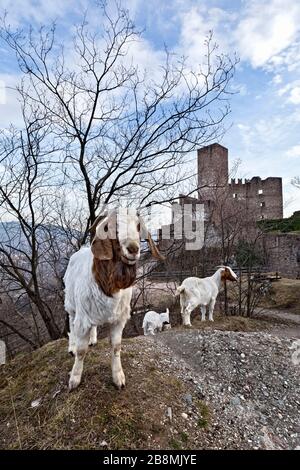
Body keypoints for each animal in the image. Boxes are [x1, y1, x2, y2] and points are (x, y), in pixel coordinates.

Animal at [62, 208, 164, 390]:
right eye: (113, 227)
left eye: (138, 226)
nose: (133, 248)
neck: (109, 287)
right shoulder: (83, 319)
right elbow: (81, 351)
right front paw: (74, 379)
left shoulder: (118, 319)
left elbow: (116, 347)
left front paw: (118, 378)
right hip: (71, 305)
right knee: (71, 324)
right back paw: (71, 346)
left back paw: (93, 339)